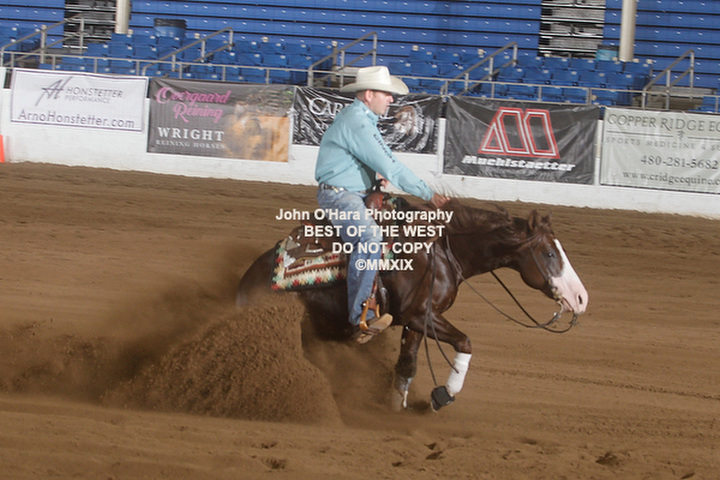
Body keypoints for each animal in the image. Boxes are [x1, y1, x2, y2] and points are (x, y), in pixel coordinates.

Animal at [236, 198, 588, 412]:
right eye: (549, 253)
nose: (581, 298)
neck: (441, 253)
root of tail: (246, 282)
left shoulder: (417, 322)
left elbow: (407, 365)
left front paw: (395, 408)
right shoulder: (420, 316)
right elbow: (465, 342)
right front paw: (444, 394)